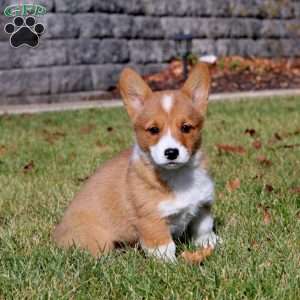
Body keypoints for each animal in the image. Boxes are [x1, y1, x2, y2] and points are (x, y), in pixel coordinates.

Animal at [53, 62, 220, 260]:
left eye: (186, 128)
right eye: (153, 130)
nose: (171, 152)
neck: (178, 176)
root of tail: (56, 236)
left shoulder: (203, 205)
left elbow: (204, 229)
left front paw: (211, 243)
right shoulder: (152, 221)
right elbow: (165, 248)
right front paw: (172, 264)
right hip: (100, 241)